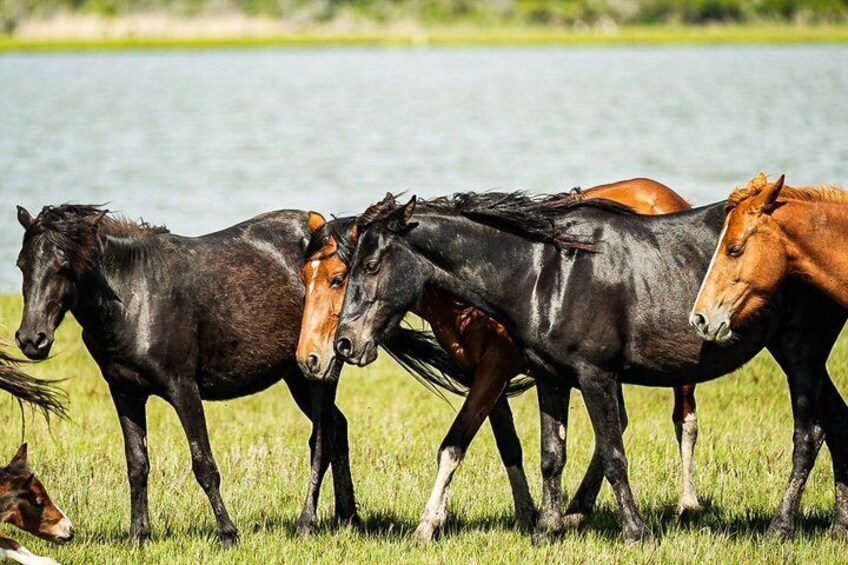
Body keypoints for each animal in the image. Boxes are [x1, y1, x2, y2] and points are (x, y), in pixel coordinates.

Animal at [12, 204, 463, 545]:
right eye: (21, 264)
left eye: (64, 266)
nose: (32, 339)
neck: (135, 295)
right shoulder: (124, 393)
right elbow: (137, 464)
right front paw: (140, 535)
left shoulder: (183, 388)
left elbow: (204, 464)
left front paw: (228, 533)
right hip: (298, 375)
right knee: (339, 429)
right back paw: (347, 516)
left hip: (317, 375)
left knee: (322, 439)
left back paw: (310, 522)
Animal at [297, 179, 699, 542]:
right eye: (305, 276)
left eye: (339, 277)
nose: (320, 353)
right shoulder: (487, 375)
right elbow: (509, 445)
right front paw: (528, 514)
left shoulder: (494, 372)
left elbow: (453, 445)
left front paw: (427, 525)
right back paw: (577, 509)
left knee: (684, 421)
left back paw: (688, 505)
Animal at [333, 191, 848, 542]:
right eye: (348, 268)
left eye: (371, 265)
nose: (344, 343)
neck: (546, 274)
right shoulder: (550, 379)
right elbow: (551, 456)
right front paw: (547, 530)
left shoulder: (596, 376)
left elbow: (614, 453)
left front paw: (635, 531)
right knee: (837, 422)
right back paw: (840, 525)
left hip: (799, 354)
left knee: (809, 435)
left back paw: (781, 527)